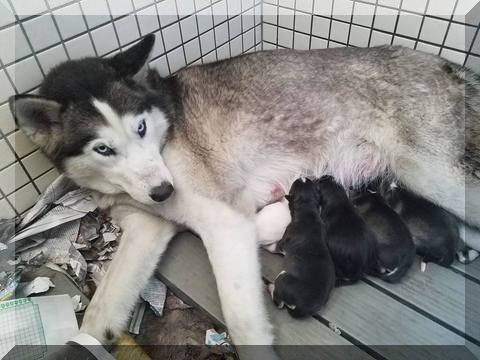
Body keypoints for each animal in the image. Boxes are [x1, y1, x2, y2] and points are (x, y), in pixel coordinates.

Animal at [268, 179, 336, 316]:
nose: (302, 177)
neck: (308, 210)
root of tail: (304, 307)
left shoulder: (283, 242)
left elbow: (274, 247)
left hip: (283, 277)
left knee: (279, 302)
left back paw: (270, 287)